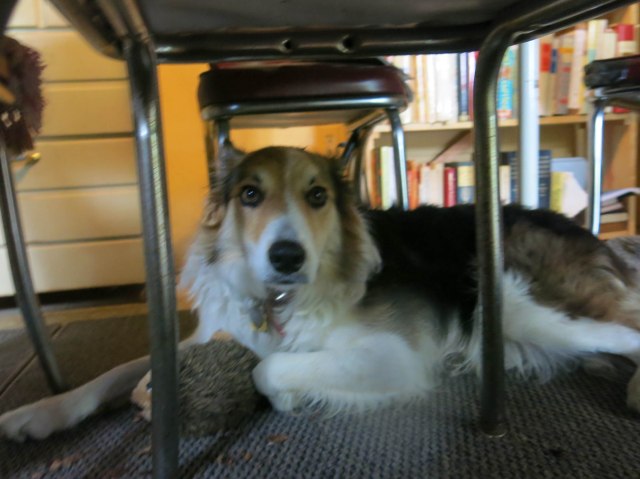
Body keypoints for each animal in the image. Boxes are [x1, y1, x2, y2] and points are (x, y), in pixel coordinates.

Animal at [2, 145, 640, 441]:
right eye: (250, 195)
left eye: (317, 197)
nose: (287, 257)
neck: (278, 301)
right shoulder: (215, 332)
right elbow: (114, 372)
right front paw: (37, 414)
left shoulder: (391, 356)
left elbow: (269, 369)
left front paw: (285, 397)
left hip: (521, 309)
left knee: (627, 332)